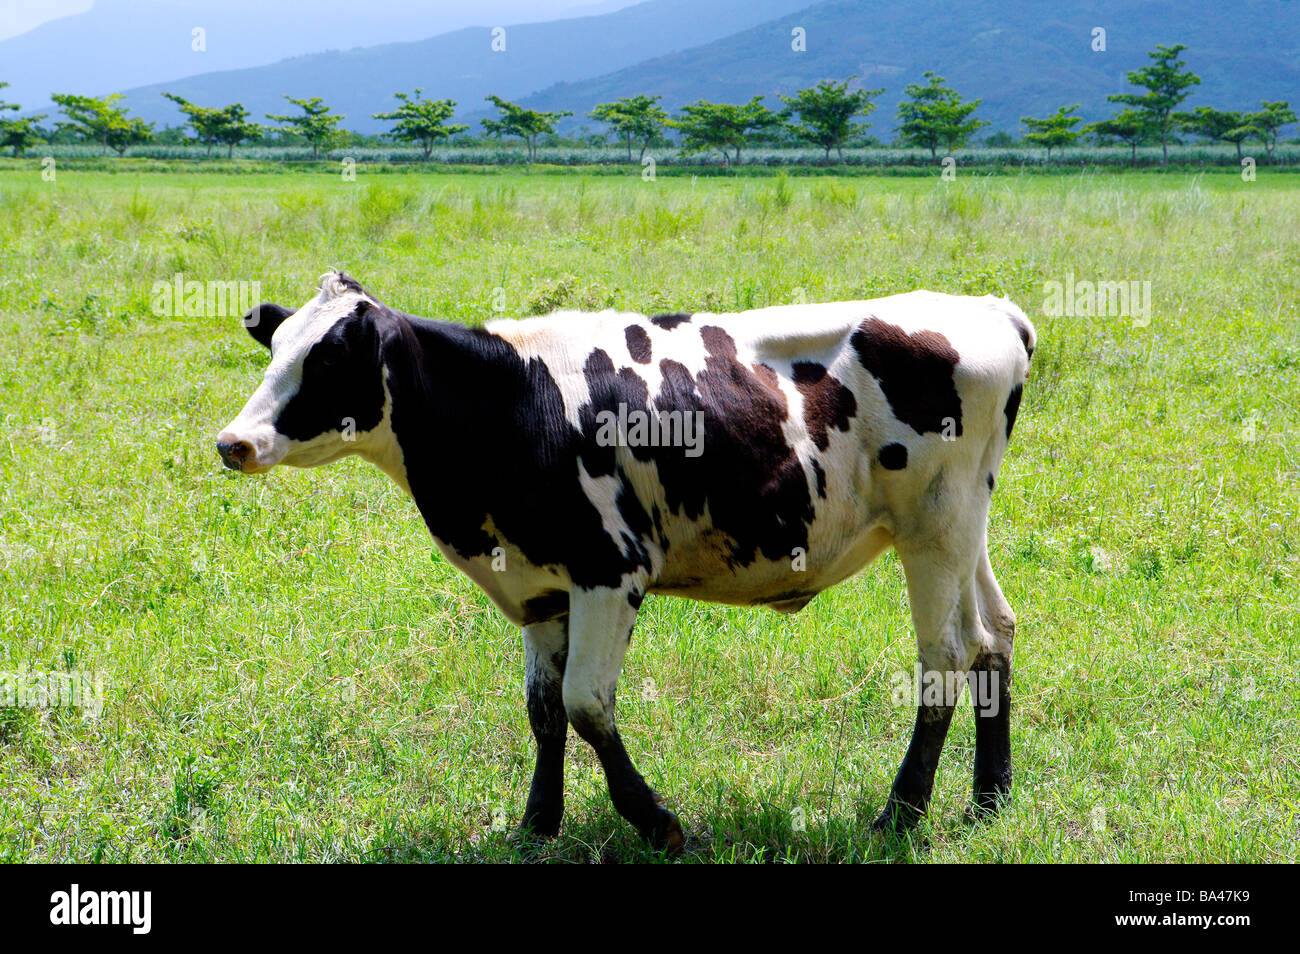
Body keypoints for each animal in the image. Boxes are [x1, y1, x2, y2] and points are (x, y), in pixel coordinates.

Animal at [217, 271, 1034, 853]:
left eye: (329, 357)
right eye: (276, 348)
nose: (234, 442)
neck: (512, 400)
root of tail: (991, 310)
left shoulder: (610, 571)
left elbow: (585, 703)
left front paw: (657, 822)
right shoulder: (539, 584)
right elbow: (543, 707)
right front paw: (537, 823)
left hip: (935, 526)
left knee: (945, 655)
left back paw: (901, 814)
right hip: (960, 524)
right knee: (993, 634)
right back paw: (988, 800)